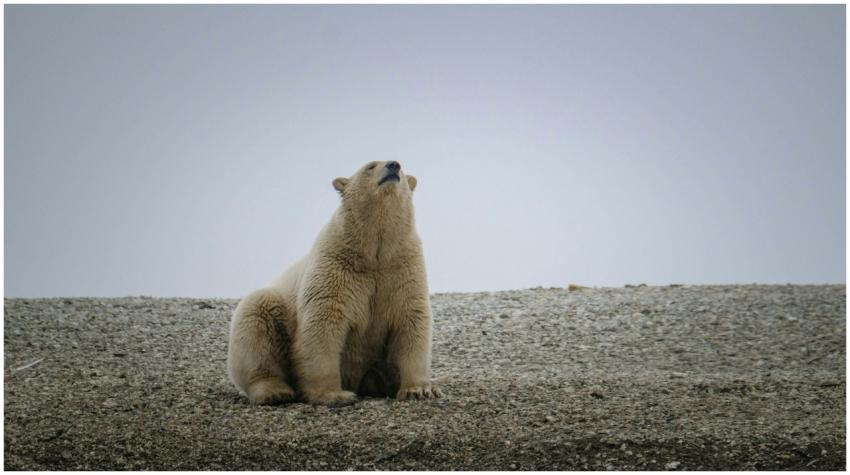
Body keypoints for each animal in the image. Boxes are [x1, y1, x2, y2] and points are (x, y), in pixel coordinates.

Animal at [227, 160, 440, 406]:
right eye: (370, 166)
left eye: (403, 169)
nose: (393, 165)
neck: (373, 254)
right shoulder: (335, 267)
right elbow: (323, 323)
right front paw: (333, 394)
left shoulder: (402, 268)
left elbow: (410, 321)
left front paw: (418, 390)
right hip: (271, 309)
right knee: (256, 324)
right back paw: (275, 392)